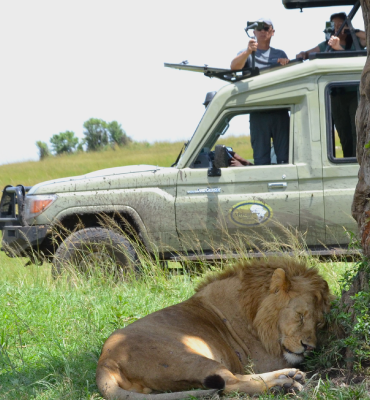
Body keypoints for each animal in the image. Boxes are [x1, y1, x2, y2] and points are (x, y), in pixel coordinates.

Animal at [96, 258, 332, 398]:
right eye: (300, 316)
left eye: (319, 323)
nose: (309, 347)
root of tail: (105, 361)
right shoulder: (261, 358)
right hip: (186, 357)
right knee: (230, 382)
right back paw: (284, 385)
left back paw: (290, 377)